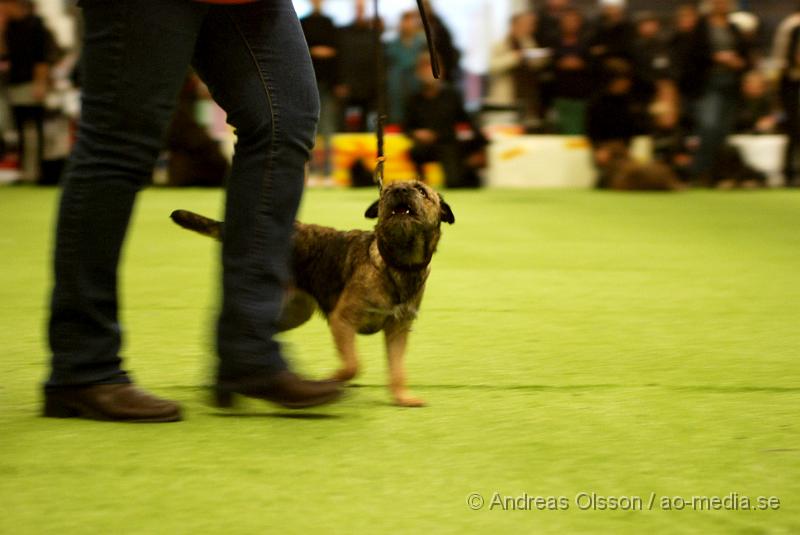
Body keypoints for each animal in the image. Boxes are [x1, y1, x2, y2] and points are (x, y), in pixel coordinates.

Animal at [170, 182, 454, 408]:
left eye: (421, 190)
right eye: (386, 191)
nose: (399, 190)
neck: (396, 262)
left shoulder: (398, 329)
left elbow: (397, 368)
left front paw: (402, 397)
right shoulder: (343, 320)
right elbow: (353, 365)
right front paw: (332, 379)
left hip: (294, 311)